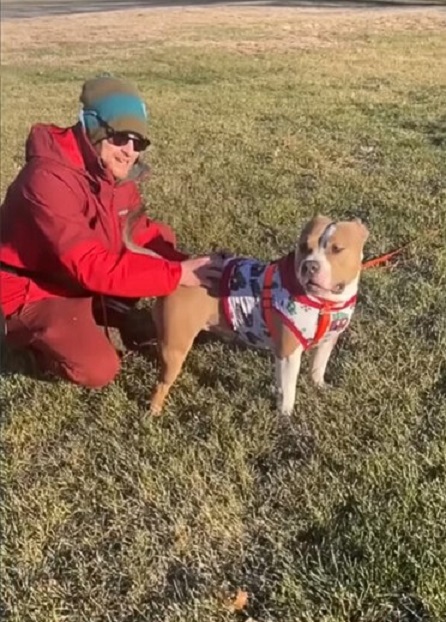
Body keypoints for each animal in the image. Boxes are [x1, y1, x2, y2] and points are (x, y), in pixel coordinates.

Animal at [126, 216, 370, 420]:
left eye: (337, 249)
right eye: (303, 247)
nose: (310, 265)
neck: (324, 303)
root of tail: (175, 269)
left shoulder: (327, 341)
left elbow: (317, 369)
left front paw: (318, 388)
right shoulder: (288, 352)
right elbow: (288, 389)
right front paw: (286, 417)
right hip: (175, 347)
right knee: (161, 384)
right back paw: (153, 412)